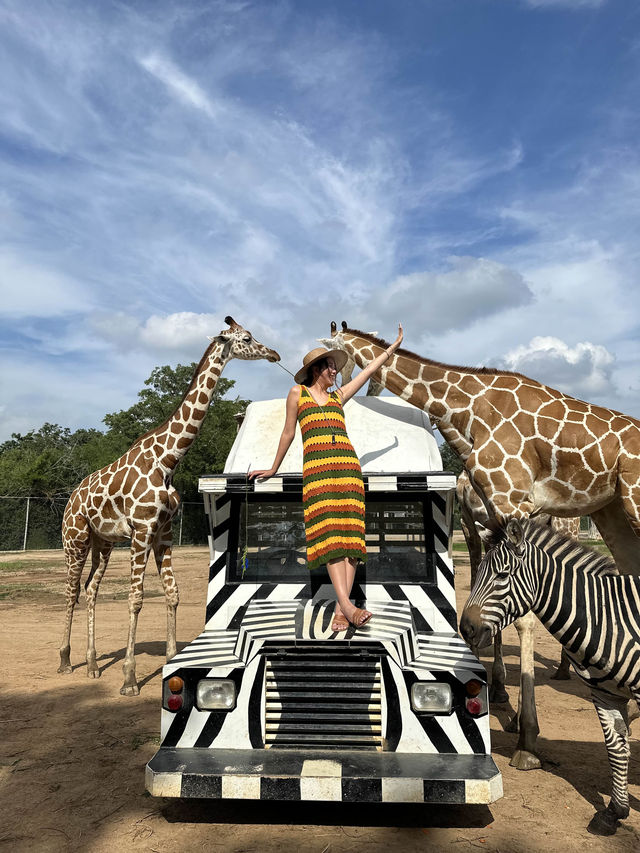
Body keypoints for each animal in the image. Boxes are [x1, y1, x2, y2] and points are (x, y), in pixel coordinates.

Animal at [58, 316, 278, 696]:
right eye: (247, 338)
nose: (274, 353)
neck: (168, 459)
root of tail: (71, 498)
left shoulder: (163, 530)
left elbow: (172, 594)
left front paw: (172, 660)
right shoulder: (142, 528)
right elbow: (136, 599)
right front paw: (130, 678)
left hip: (103, 543)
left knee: (89, 590)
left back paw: (93, 665)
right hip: (76, 540)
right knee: (71, 592)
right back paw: (66, 660)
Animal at [330, 322, 640, 768]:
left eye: (335, 358)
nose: (352, 394)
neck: (468, 407)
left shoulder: (513, 501)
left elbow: (523, 612)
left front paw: (526, 737)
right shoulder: (483, 519)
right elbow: (485, 586)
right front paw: (496, 689)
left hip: (620, 502)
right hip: (612, 510)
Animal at [460, 516, 636, 836]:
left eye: (502, 576)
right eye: (477, 576)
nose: (465, 629)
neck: (607, 617)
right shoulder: (605, 693)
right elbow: (616, 749)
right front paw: (613, 813)